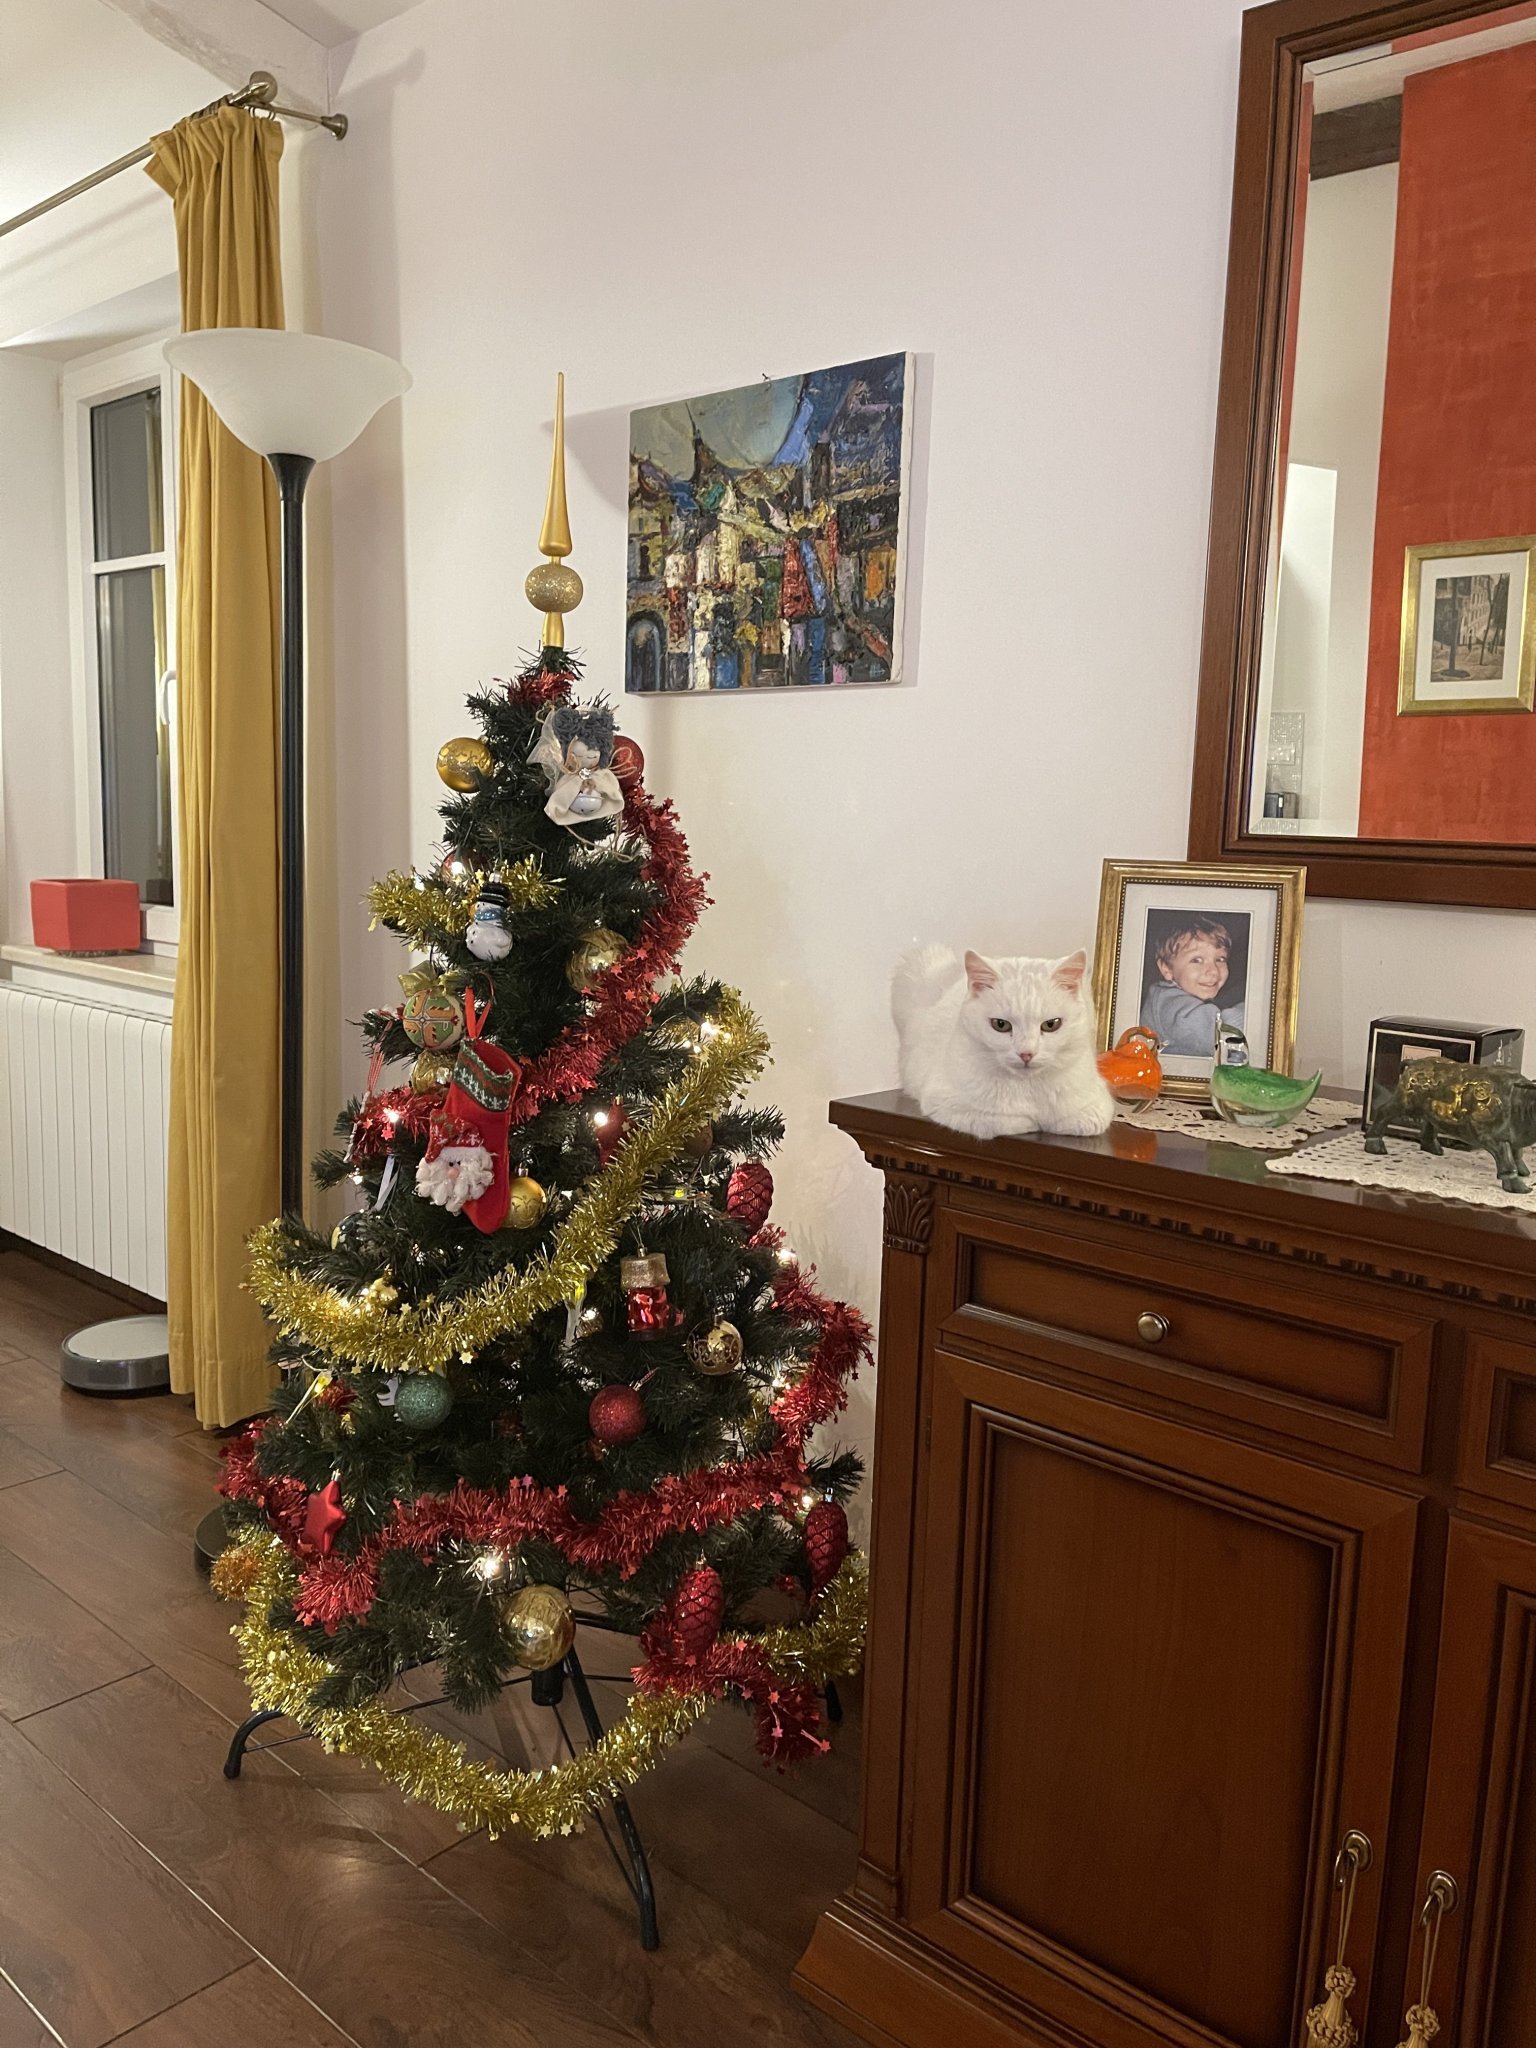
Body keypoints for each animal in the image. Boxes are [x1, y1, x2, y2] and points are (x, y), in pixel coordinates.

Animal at [891, 945, 1115, 1141]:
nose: (1026, 1053)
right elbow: (1009, 1121)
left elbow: (1075, 1122)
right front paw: (1032, 1122)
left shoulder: (1097, 1106)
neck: (1028, 1088)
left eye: (1051, 1024)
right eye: (1001, 1025)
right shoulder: (951, 1105)